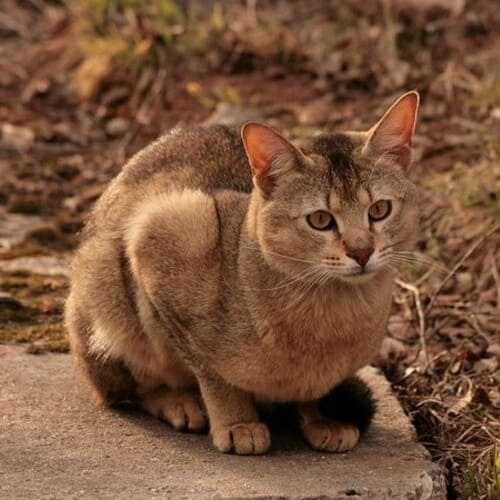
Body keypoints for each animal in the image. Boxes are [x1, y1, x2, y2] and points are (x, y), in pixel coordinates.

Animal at [64, 92, 420, 456]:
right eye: (320, 220)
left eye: (380, 210)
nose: (362, 252)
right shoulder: (163, 233)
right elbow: (212, 372)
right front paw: (237, 423)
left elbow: (311, 393)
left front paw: (321, 419)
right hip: (108, 296)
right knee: (127, 389)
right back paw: (180, 402)